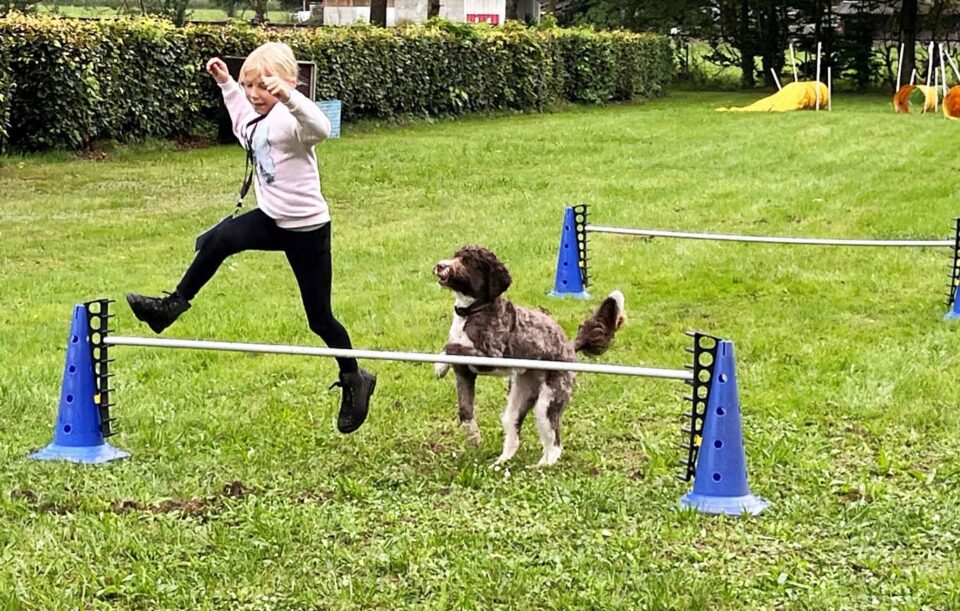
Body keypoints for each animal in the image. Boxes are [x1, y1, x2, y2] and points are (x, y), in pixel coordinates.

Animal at [433, 245, 626, 467]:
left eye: (466, 261)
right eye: (455, 255)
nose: (440, 265)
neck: (472, 311)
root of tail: (570, 347)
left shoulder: (492, 356)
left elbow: (454, 346)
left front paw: (440, 362)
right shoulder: (465, 373)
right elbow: (465, 410)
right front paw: (441, 367)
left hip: (548, 402)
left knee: (555, 444)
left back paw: (541, 466)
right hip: (519, 398)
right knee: (513, 434)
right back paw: (500, 463)